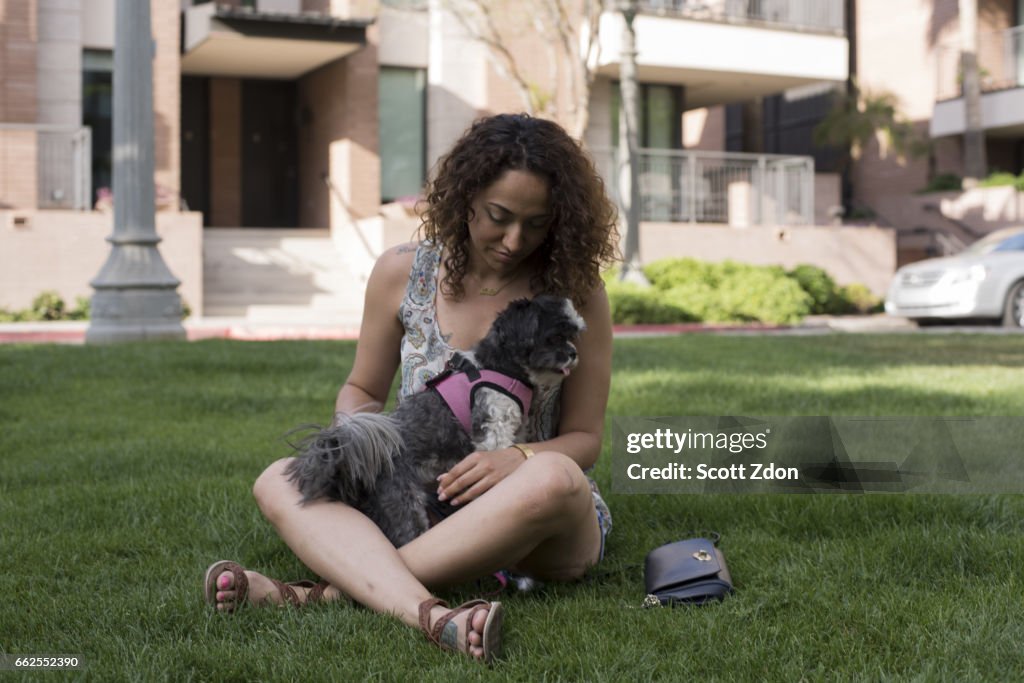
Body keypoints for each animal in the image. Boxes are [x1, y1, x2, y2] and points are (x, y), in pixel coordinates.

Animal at [284, 296, 589, 548]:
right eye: (555, 336)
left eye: (573, 335)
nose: (573, 353)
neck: (501, 367)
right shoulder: (493, 428)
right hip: (404, 501)